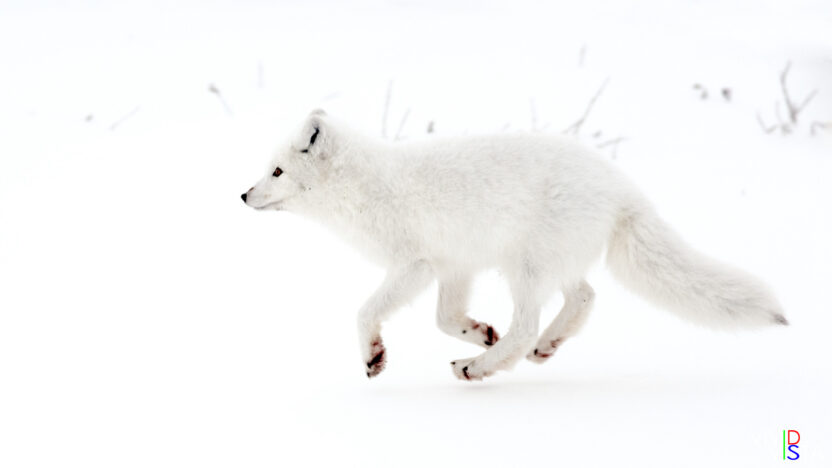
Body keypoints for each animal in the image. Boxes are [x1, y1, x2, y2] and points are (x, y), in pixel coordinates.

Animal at [241, 109, 787, 381]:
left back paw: (479, 369)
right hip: (549, 265)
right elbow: (445, 320)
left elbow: (364, 312)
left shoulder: (415, 264)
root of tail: (622, 188)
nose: (243, 195)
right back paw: (540, 347)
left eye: (277, 172)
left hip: (525, 268)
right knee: (584, 298)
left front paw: (374, 356)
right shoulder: (454, 267)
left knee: (527, 327)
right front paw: (481, 333)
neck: (367, 187)